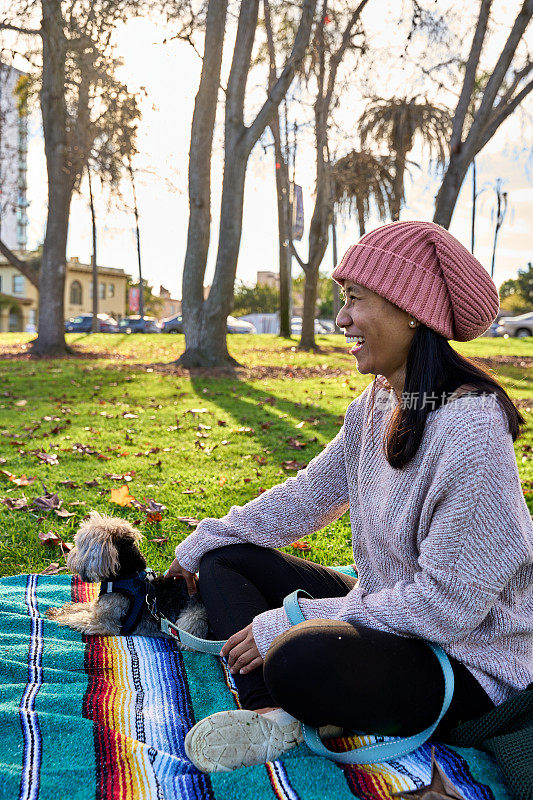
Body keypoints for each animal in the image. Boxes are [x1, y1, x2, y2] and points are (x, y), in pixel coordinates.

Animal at [45, 510, 209, 648]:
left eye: (79, 545)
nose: (69, 555)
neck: (126, 575)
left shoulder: (101, 623)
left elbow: (78, 617)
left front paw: (59, 616)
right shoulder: (98, 607)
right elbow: (83, 607)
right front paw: (64, 609)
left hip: (190, 621)